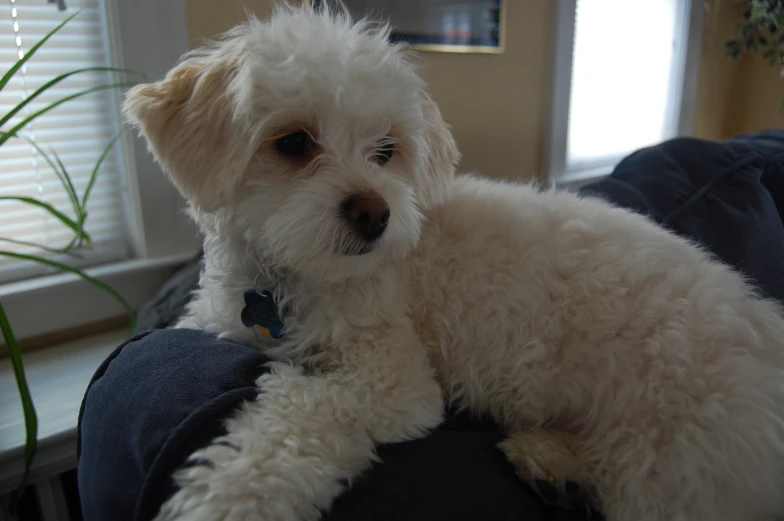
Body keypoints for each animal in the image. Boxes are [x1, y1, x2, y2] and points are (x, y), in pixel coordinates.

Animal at [124, 4, 784, 520]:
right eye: (292, 143)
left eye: (386, 150)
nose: (374, 213)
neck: (291, 280)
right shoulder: (219, 318)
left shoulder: (394, 380)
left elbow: (298, 417)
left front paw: (228, 496)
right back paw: (553, 464)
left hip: (671, 460)